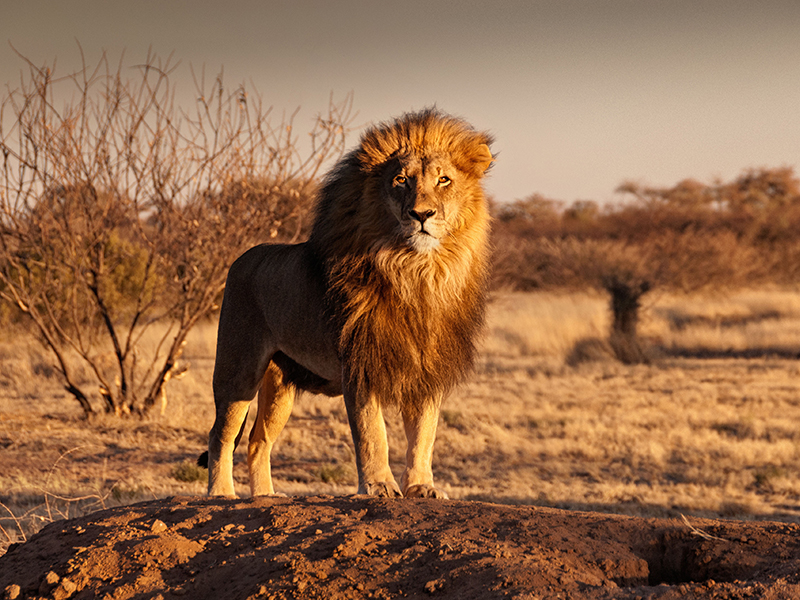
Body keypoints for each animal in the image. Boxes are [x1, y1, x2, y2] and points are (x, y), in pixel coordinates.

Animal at [205, 108, 494, 498]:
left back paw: (265, 496)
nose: (422, 215)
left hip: (280, 383)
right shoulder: (360, 363)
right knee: (221, 433)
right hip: (239, 368)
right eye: (400, 180)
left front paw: (422, 487)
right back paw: (221, 493)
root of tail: (242, 258)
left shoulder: (427, 369)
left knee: (257, 440)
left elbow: (424, 435)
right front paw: (379, 485)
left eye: (444, 180)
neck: (417, 273)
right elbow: (373, 433)